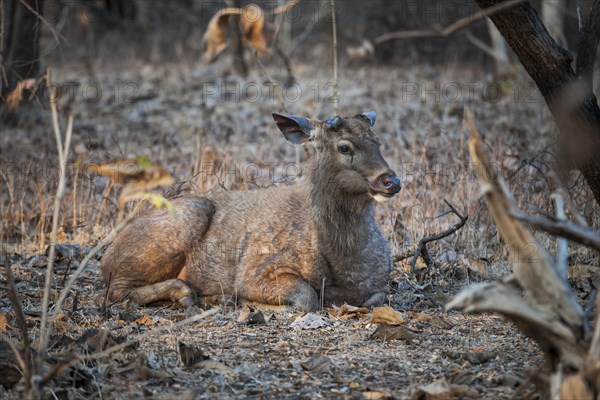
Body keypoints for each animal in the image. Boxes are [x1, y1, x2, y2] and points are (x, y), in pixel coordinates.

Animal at [101, 111, 400, 310]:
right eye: (344, 147)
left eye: (378, 142)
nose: (391, 181)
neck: (345, 262)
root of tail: (106, 256)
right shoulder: (256, 269)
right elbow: (307, 297)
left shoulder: (379, 282)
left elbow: (377, 298)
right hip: (184, 221)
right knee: (116, 291)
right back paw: (186, 294)